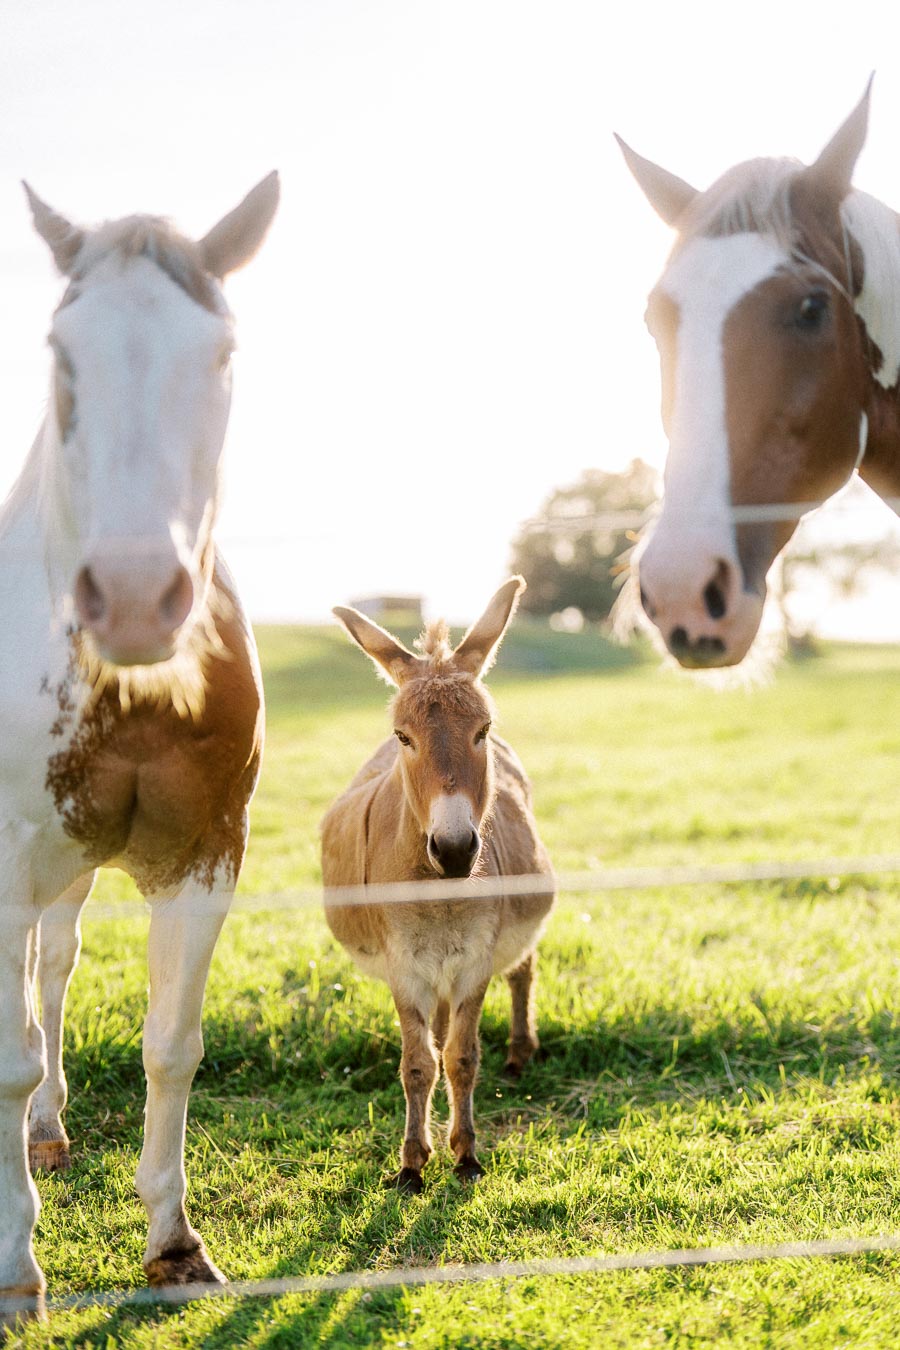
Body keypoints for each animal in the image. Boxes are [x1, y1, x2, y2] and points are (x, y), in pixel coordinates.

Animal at [320, 578, 555, 1194]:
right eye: (403, 737)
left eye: (484, 731)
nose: (453, 850)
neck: (439, 895)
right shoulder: (405, 968)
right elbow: (419, 1063)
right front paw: (411, 1163)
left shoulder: (475, 962)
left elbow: (463, 1058)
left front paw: (467, 1155)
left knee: (523, 970)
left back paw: (520, 1053)